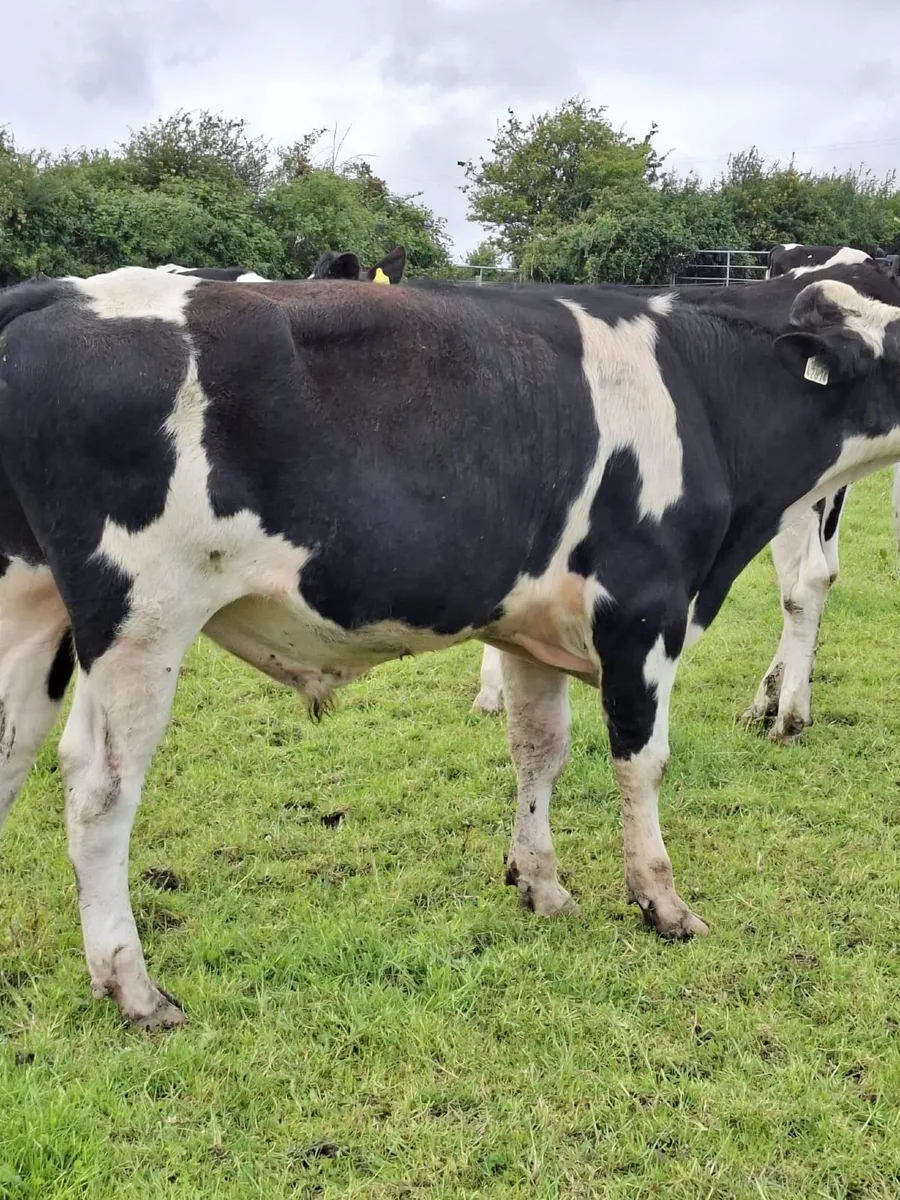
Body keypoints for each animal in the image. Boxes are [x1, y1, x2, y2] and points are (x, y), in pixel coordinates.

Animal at [2, 262, 900, 1029]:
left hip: (32, 602)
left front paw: (540, 883)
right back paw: (133, 986)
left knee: (16, 749)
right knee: (99, 792)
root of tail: (57, 293)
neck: (705, 392)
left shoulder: (533, 629)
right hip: (141, 616)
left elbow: (538, 750)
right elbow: (641, 761)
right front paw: (661, 903)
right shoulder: (642, 608)